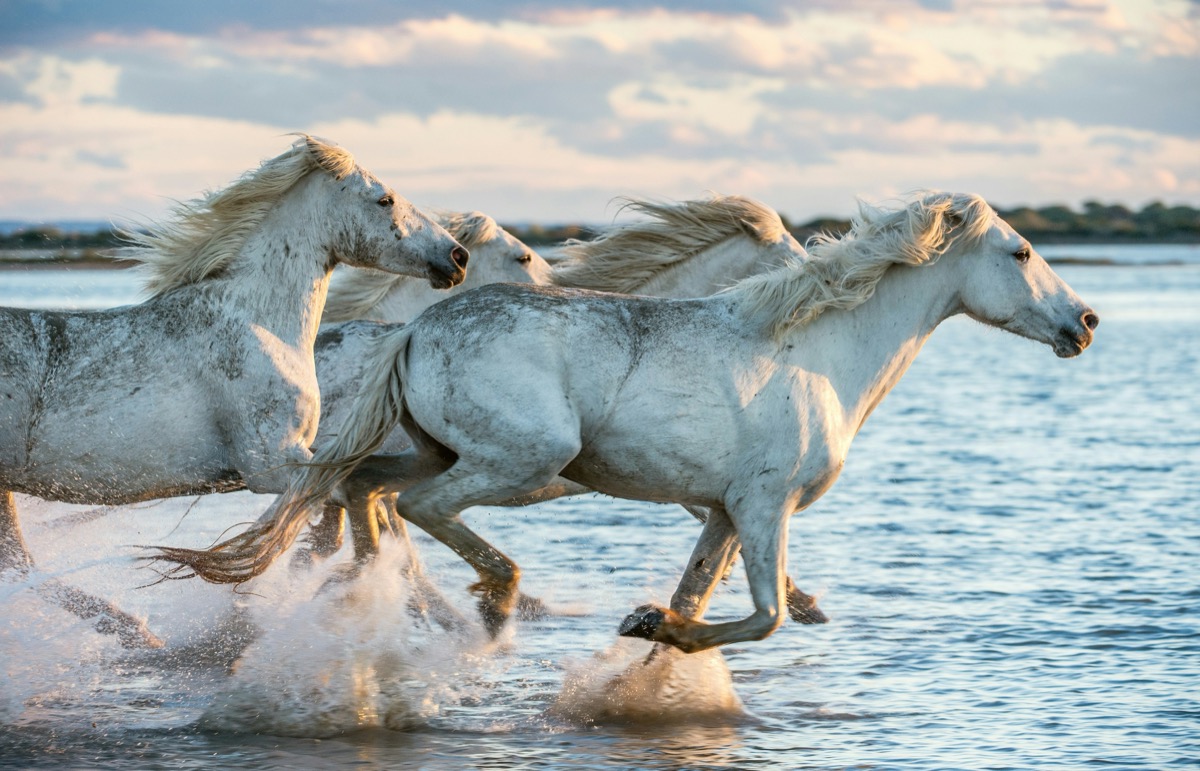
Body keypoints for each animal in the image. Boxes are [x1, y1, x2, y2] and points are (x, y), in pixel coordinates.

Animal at [0, 135, 468, 648]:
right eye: (384, 199)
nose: (457, 258)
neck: (258, 324)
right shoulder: (271, 463)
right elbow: (352, 506)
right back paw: (139, 633)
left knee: (18, 563)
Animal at [165, 190, 1099, 653]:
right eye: (1020, 251)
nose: (1084, 322)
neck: (817, 353)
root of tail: (415, 329)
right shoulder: (764, 505)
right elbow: (765, 613)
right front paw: (657, 626)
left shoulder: (721, 509)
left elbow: (706, 589)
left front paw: (660, 632)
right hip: (522, 458)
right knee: (416, 511)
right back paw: (491, 600)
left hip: (437, 453)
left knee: (361, 491)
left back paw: (393, 596)